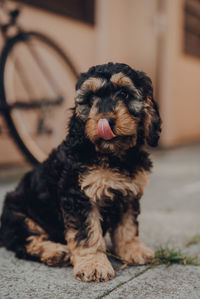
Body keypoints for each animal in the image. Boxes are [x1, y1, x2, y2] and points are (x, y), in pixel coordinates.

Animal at [0, 62, 161, 284]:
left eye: (124, 93)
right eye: (91, 98)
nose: (106, 120)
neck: (111, 155)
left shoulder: (129, 192)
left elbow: (127, 226)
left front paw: (132, 249)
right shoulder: (79, 196)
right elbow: (87, 233)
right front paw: (93, 264)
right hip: (19, 215)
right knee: (26, 242)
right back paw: (56, 252)